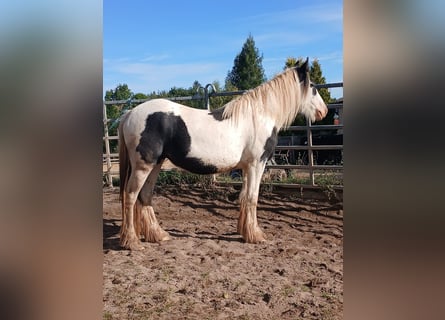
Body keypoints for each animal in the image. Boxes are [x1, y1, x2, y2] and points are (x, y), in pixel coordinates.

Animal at [117, 59, 326, 250]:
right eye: (313, 87)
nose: (323, 111)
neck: (261, 115)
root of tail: (130, 113)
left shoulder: (246, 168)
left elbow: (243, 197)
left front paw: (244, 232)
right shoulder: (256, 165)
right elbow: (252, 198)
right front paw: (256, 236)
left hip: (156, 164)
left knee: (145, 195)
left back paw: (158, 235)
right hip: (143, 167)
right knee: (130, 195)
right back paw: (132, 241)